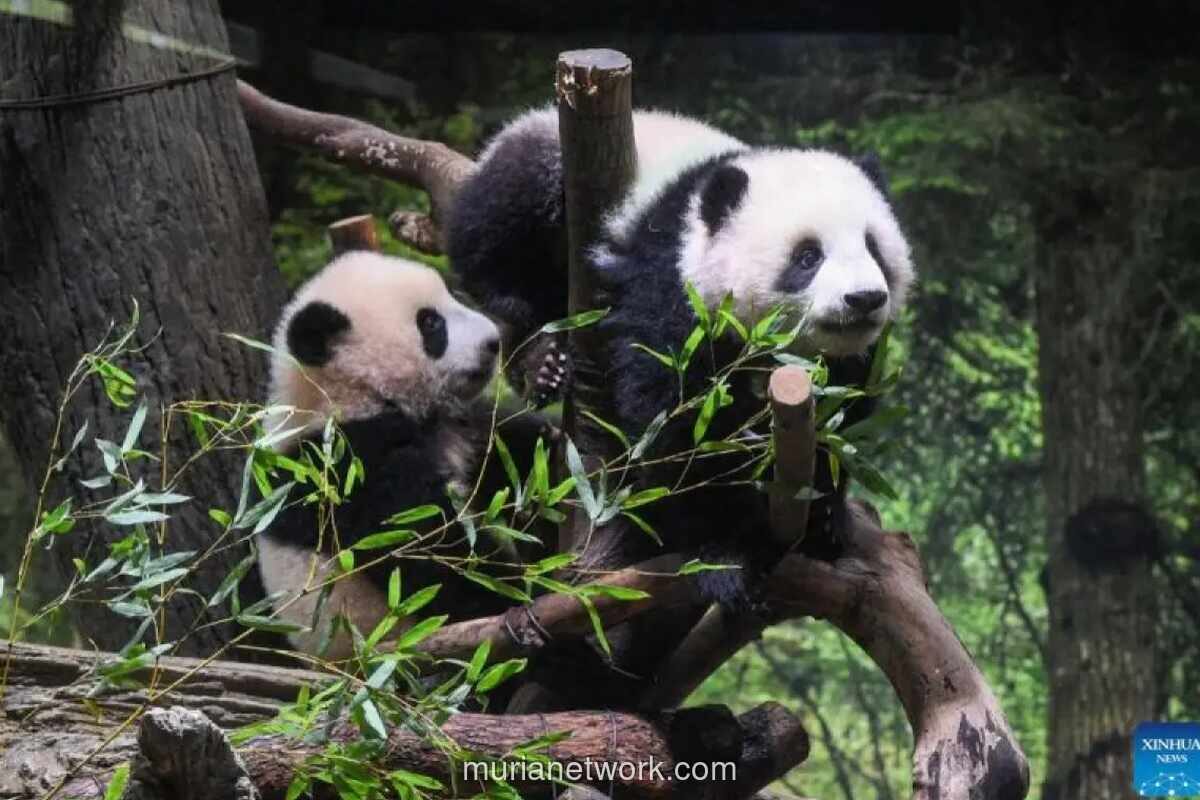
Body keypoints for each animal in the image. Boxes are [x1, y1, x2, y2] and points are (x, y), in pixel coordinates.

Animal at [257, 251, 554, 660]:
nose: (493, 342)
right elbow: (430, 553)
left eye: (453, 295)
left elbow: (507, 453)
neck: (350, 395)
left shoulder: (456, 427)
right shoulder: (350, 468)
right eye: (430, 323)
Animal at [447, 107, 914, 610]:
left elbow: (841, 418)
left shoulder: (847, 362)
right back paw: (541, 357)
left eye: (873, 247)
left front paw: (823, 519)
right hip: (541, 159)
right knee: (498, 224)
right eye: (808, 256)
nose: (864, 299)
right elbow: (676, 424)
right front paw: (725, 551)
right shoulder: (669, 283)